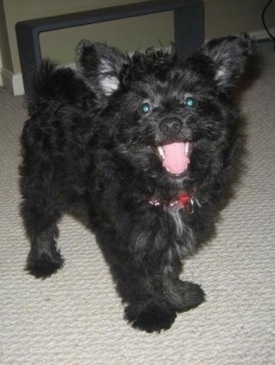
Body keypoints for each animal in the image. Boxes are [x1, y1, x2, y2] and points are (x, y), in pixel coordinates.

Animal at [20, 33, 256, 330]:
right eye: (144, 107)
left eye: (190, 101)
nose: (171, 123)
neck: (159, 186)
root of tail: (48, 99)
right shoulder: (127, 240)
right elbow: (140, 279)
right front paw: (151, 312)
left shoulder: (162, 237)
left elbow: (166, 268)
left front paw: (177, 296)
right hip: (40, 183)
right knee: (38, 221)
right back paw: (43, 260)